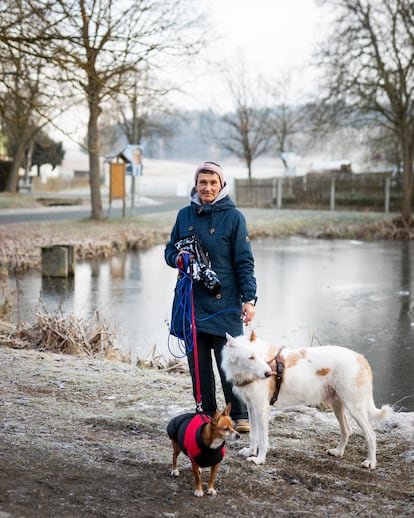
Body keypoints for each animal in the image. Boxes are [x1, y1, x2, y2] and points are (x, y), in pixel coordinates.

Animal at [222, 334, 392, 472]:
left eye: (260, 356)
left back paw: (370, 462)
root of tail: (360, 357)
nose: (268, 373)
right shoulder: (251, 407)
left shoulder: (261, 408)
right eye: (251, 357)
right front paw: (251, 451)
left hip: (354, 407)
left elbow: (263, 439)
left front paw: (259, 459)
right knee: (347, 430)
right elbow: (253, 434)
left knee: (371, 435)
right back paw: (338, 452)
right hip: (338, 405)